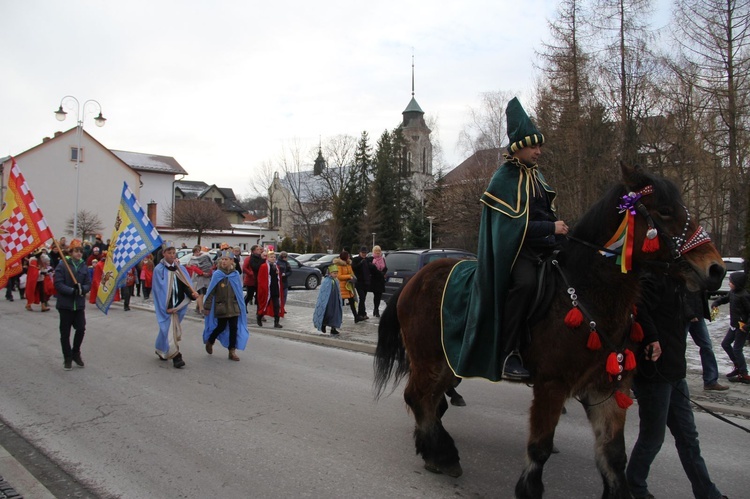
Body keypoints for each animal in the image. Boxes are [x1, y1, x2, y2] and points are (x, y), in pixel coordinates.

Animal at [376, 162, 728, 498]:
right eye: (665, 211)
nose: (716, 269)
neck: (587, 291)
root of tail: (414, 280)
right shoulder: (552, 384)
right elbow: (540, 447)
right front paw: (529, 489)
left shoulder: (609, 388)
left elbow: (613, 454)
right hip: (429, 359)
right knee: (418, 397)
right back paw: (443, 454)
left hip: (451, 361)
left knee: (430, 401)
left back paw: (436, 451)